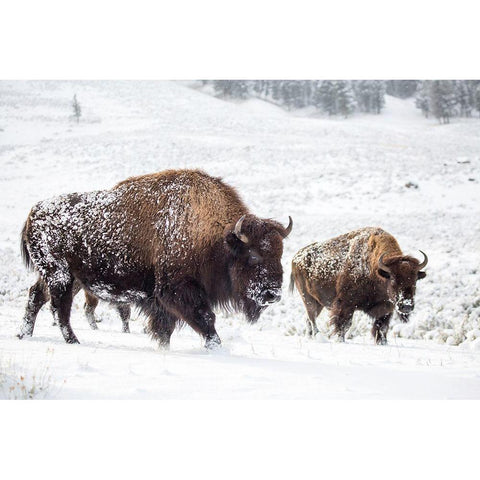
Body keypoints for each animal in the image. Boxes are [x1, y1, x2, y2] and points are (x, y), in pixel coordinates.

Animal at [19, 169, 292, 348]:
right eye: (253, 255)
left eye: (280, 254)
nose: (272, 294)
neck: (212, 235)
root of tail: (34, 211)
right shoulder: (177, 291)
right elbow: (205, 319)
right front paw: (214, 347)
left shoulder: (164, 302)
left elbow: (165, 329)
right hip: (60, 276)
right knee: (59, 308)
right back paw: (73, 341)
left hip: (68, 278)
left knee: (36, 297)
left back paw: (24, 335)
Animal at [288, 227, 428, 344]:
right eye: (393, 279)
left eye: (415, 280)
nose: (406, 306)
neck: (376, 271)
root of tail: (296, 257)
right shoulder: (346, 304)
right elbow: (344, 325)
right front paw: (340, 340)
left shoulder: (386, 308)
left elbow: (382, 328)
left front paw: (382, 343)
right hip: (308, 299)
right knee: (312, 318)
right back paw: (318, 336)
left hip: (318, 303)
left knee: (308, 319)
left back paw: (310, 337)